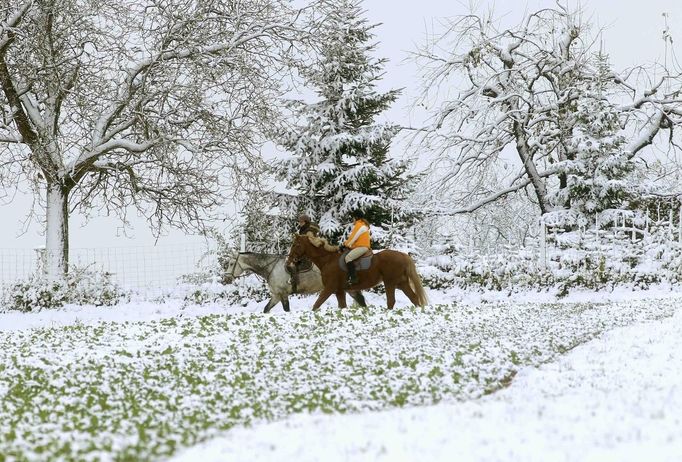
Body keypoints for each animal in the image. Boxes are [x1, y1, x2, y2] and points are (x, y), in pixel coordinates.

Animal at [223, 251, 364, 312]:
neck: (271, 267)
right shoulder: (276, 295)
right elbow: (266, 309)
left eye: (231, 264)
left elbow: (286, 309)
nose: (226, 279)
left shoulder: (283, 294)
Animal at [286, 235, 424, 310]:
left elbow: (316, 304)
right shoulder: (341, 291)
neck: (328, 260)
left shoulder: (330, 288)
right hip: (401, 283)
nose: (289, 260)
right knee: (413, 298)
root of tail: (403, 255)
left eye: (296, 245)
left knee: (391, 301)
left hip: (390, 283)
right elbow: (344, 306)